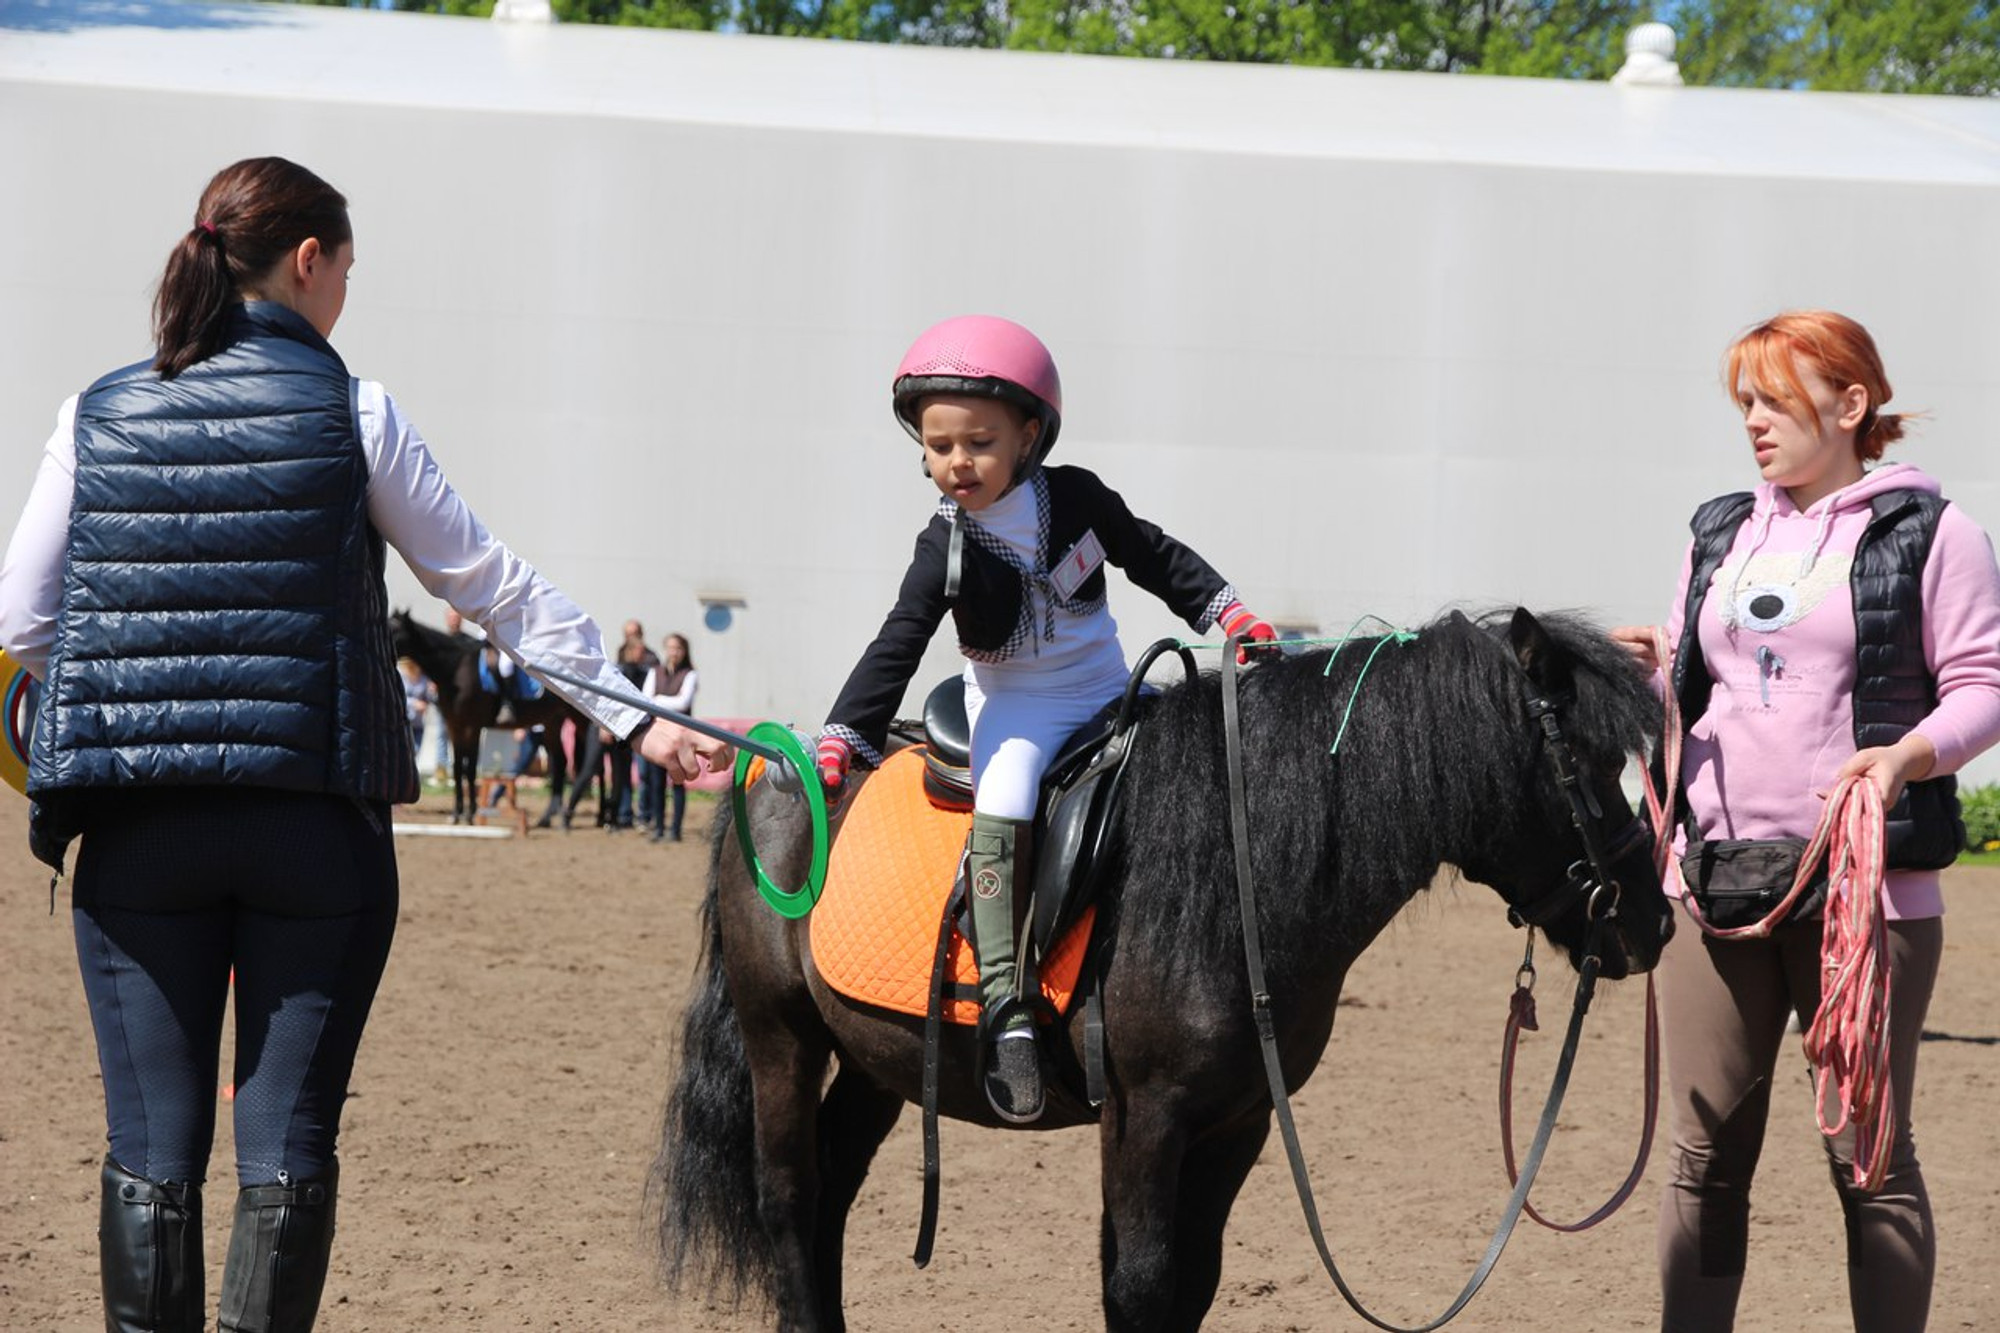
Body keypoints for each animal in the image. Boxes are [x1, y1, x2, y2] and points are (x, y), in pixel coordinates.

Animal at [388, 608, 580, 820]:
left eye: (395, 630)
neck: (455, 669)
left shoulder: (473, 727)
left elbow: (471, 768)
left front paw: (471, 812)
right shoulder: (455, 726)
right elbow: (458, 769)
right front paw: (457, 813)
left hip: (578, 721)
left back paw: (569, 818)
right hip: (552, 722)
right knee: (561, 763)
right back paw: (547, 818)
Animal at [652, 604, 1672, 1328]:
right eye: (1588, 763)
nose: (1654, 921)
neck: (1238, 871)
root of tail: (777, 762)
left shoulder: (1240, 1118)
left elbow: (1191, 1285)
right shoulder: (1145, 1118)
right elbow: (1138, 1287)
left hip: (879, 1057)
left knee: (829, 1196)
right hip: (781, 1036)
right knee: (790, 1200)